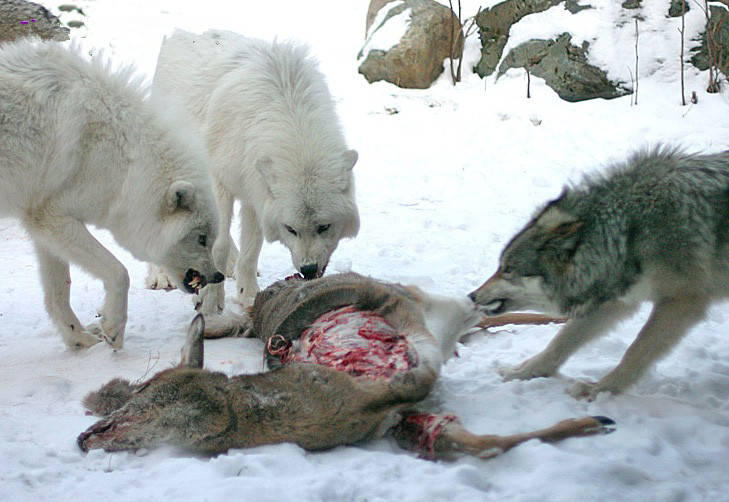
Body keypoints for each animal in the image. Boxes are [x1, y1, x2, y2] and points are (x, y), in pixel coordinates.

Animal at [0, 41, 223, 350]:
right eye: (201, 239)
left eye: (209, 239)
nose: (218, 275)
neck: (127, 160)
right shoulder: (55, 219)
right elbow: (119, 272)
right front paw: (113, 329)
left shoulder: (43, 224)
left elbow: (58, 293)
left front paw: (80, 340)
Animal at [145, 30, 358, 310]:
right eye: (291, 229)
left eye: (324, 227)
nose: (309, 270)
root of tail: (181, 33)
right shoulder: (219, 185)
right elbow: (217, 246)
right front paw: (210, 303)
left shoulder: (254, 192)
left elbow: (252, 249)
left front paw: (248, 296)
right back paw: (160, 275)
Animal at [470, 145, 728, 400]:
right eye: (500, 266)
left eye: (507, 269)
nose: (471, 296)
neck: (627, 234)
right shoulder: (618, 298)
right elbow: (561, 341)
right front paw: (523, 371)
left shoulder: (681, 302)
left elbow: (635, 351)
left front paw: (598, 390)